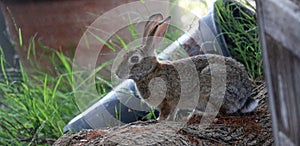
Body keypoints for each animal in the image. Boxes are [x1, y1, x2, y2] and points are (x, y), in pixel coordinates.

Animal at [115, 13, 258, 121]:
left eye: (134, 59)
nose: (117, 73)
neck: (150, 72)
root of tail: (244, 95)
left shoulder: (167, 101)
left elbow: (165, 113)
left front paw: (159, 121)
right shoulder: (172, 105)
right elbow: (173, 113)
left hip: (210, 84)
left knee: (216, 111)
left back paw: (195, 114)